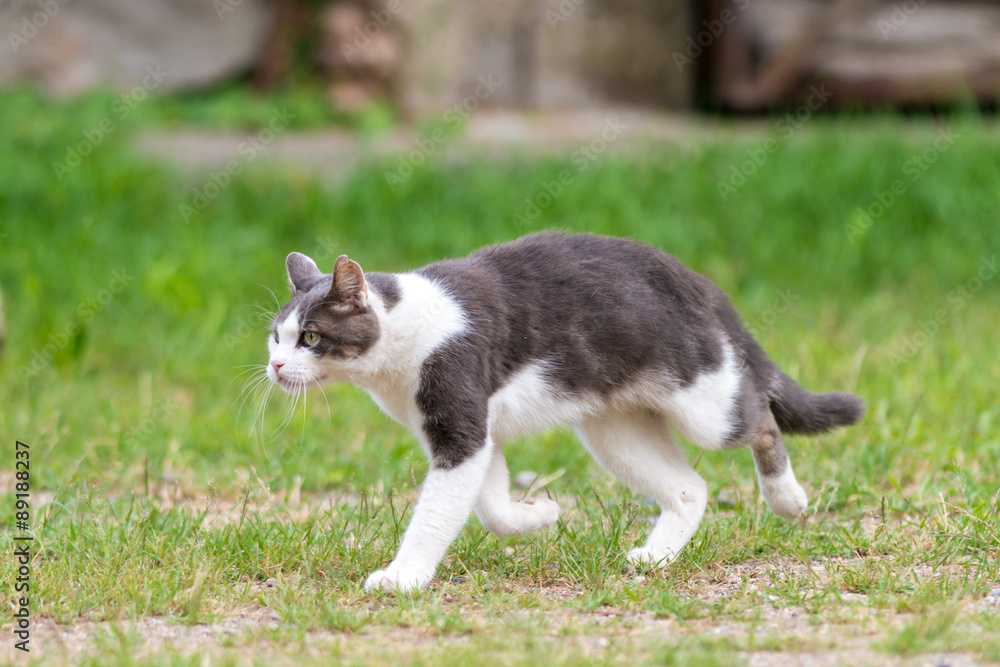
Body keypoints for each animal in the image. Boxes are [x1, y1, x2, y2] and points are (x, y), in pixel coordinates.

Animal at [268, 232, 868, 592]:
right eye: (276, 336)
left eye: (311, 337)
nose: (273, 365)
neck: (401, 337)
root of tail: (692, 279)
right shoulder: (478, 434)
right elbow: (491, 507)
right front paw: (541, 514)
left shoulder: (460, 425)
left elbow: (436, 513)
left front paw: (403, 577)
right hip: (614, 431)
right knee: (689, 488)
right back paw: (656, 557)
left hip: (705, 402)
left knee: (760, 418)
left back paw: (788, 499)